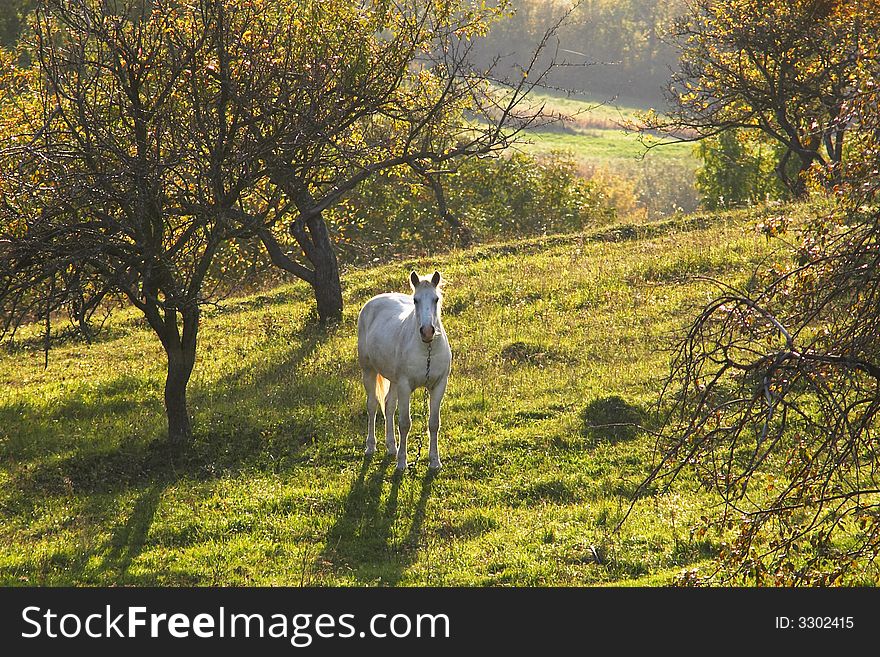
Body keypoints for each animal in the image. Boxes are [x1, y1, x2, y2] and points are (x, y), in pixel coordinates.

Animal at [358, 270, 454, 468]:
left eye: (436, 299)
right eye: (415, 300)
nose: (427, 331)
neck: (427, 350)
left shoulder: (439, 385)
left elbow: (434, 423)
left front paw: (435, 461)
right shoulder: (405, 386)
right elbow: (404, 424)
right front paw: (402, 463)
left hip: (393, 380)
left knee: (388, 406)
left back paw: (391, 448)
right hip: (369, 371)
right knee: (372, 406)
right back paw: (371, 446)